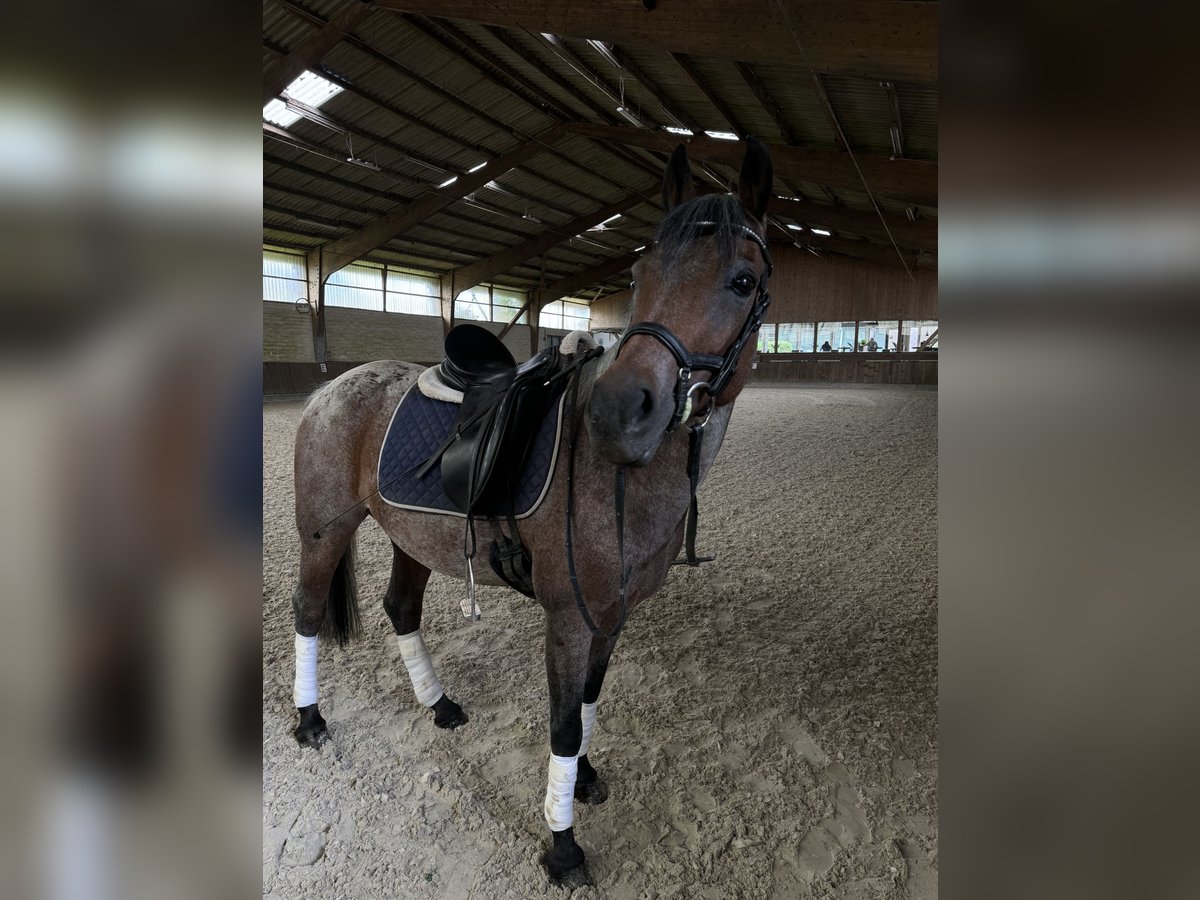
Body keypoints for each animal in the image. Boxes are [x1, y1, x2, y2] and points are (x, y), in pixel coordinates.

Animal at [291, 137, 777, 883]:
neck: (621, 479)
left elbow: (590, 703)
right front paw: (563, 844)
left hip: (410, 537)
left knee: (400, 608)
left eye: (743, 281)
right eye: (639, 272)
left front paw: (583, 781)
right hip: (325, 531)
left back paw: (439, 705)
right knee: (309, 611)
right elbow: (563, 722)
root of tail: (330, 387)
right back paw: (309, 720)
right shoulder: (569, 617)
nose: (618, 413)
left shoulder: (613, 615)